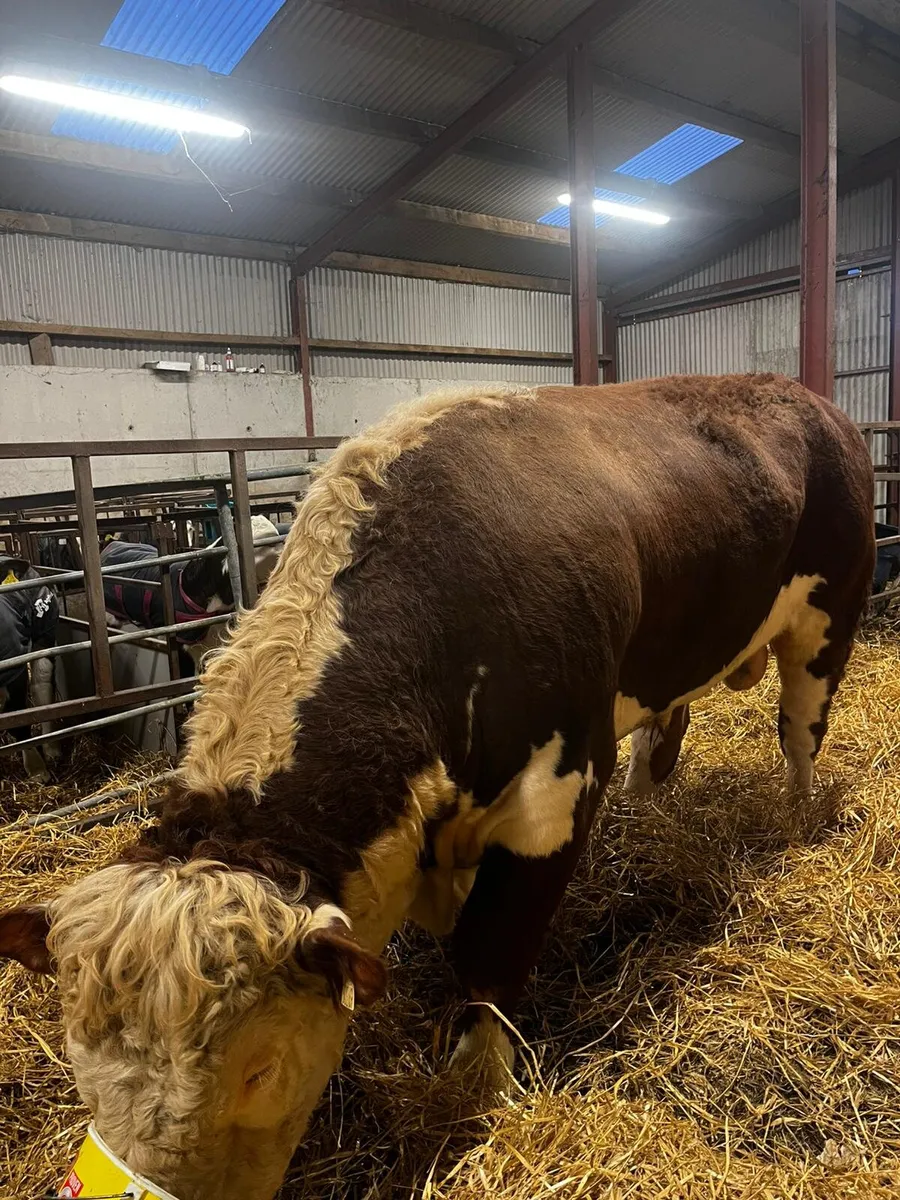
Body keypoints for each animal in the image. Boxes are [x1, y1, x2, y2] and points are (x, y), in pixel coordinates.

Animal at [0, 556, 59, 780]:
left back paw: (51, 749)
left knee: (42, 683)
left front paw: (37, 770)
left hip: (44, 633)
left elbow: (18, 716)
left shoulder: (13, 667)